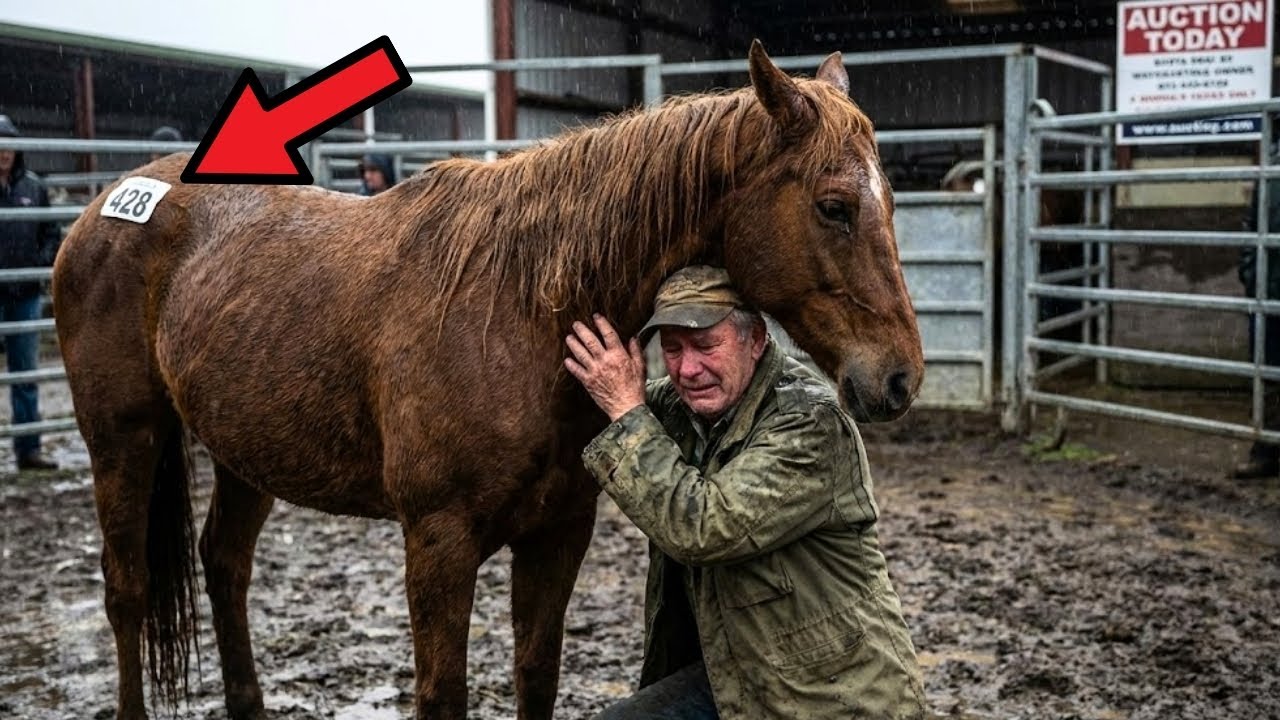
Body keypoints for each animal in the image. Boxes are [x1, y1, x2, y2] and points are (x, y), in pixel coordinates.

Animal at [52, 41, 923, 720]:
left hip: (243, 453)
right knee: (127, 590)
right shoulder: (439, 541)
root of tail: (101, 208)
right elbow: (444, 693)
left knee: (223, 564)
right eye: (835, 205)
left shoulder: (559, 531)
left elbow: (535, 673)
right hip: (123, 438)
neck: (519, 306)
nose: (899, 378)